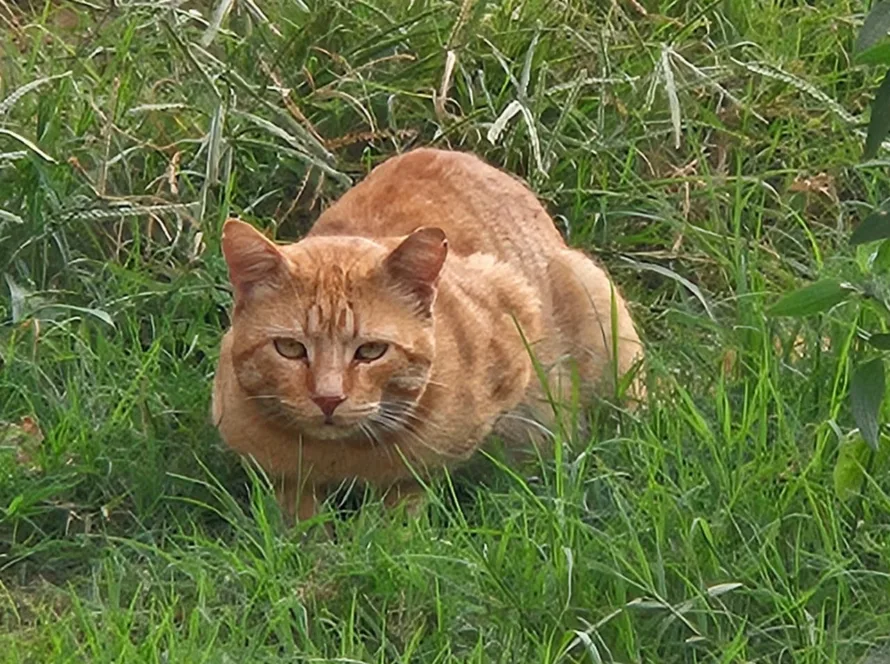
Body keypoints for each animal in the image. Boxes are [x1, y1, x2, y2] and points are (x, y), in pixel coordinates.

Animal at [212, 148, 640, 520]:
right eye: (289, 348)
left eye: (371, 351)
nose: (328, 399)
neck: (341, 458)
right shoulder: (277, 472)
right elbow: (299, 515)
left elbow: (407, 496)